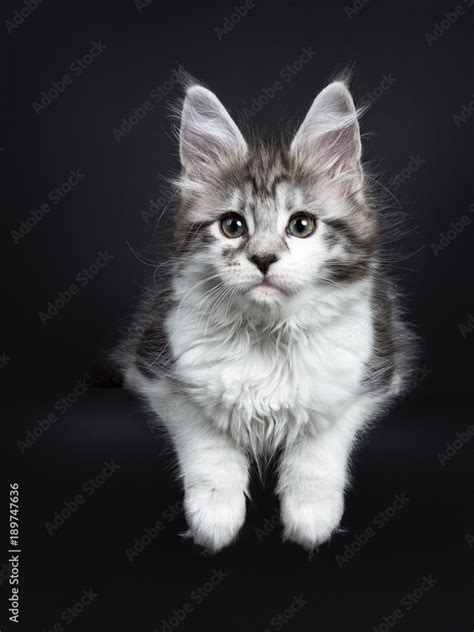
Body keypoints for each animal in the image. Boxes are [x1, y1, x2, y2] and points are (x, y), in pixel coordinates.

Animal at [115, 78, 414, 552]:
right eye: (233, 226)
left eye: (302, 225)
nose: (263, 259)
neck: (268, 334)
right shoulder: (158, 372)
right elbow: (207, 441)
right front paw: (215, 517)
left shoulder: (369, 375)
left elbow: (320, 441)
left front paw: (310, 515)